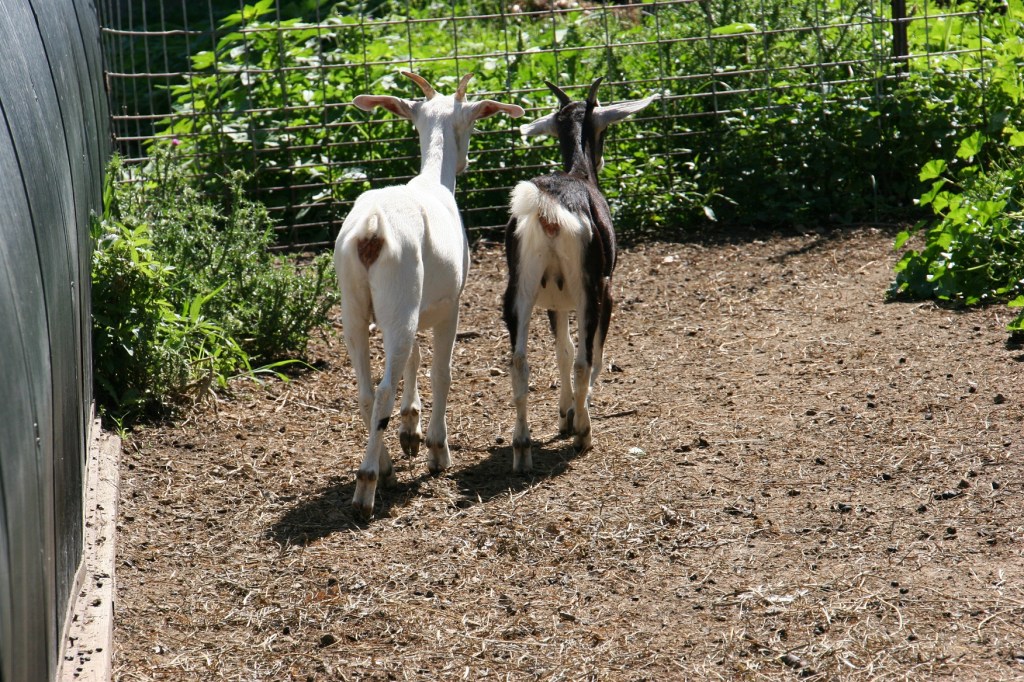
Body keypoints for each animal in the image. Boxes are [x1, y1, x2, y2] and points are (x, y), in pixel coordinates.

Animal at [335, 72, 524, 516]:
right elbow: (442, 371)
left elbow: (415, 359)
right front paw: (438, 449)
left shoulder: (416, 309)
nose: (465, 161)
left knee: (366, 390)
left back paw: (385, 465)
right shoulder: (449, 305)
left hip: (358, 307)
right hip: (399, 298)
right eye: (472, 123)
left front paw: (411, 429)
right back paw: (367, 485)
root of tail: (371, 231)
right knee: (382, 389)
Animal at [502, 77, 656, 472]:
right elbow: (592, 355)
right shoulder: (607, 292)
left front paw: (563, 414)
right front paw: (576, 417)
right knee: (586, 360)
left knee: (520, 361)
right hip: (591, 292)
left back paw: (522, 448)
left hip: (519, 293)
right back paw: (584, 436)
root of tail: (548, 206)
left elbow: (562, 350)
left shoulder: (554, 303)